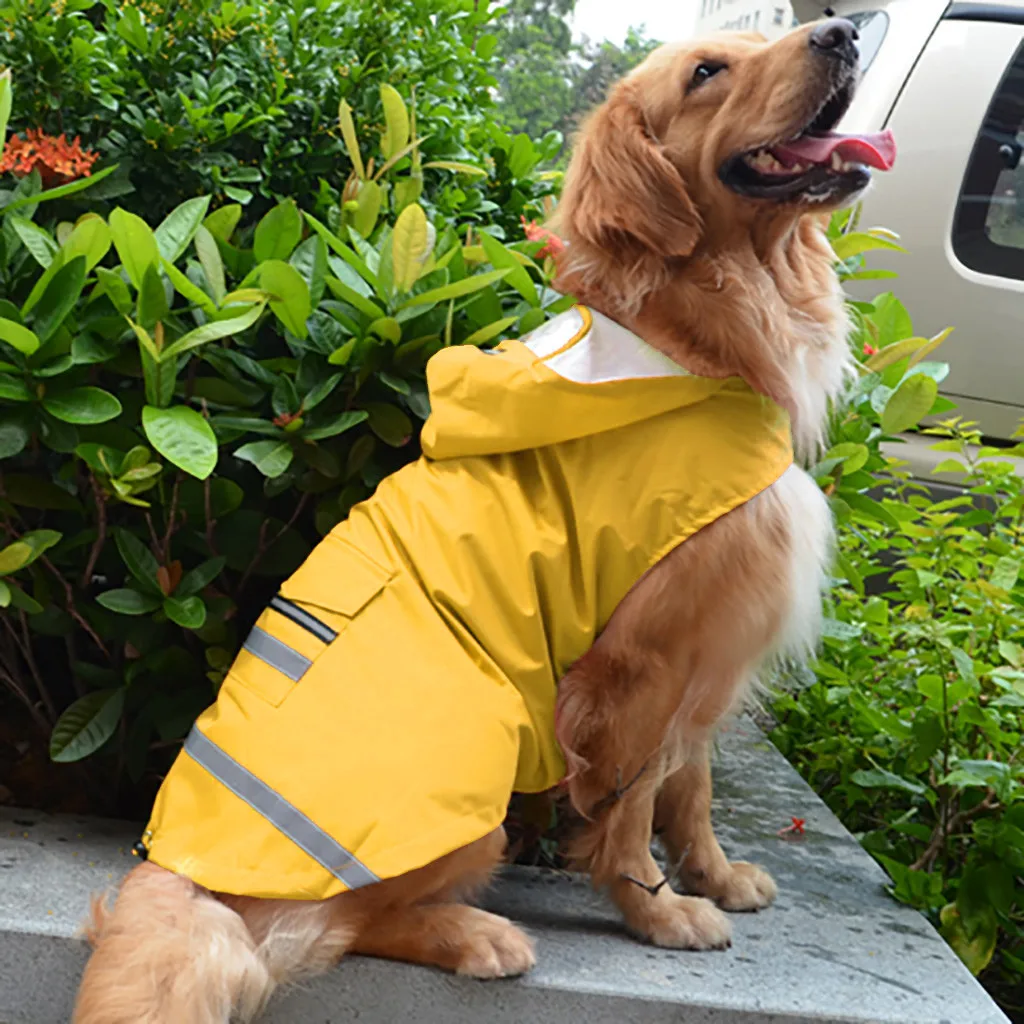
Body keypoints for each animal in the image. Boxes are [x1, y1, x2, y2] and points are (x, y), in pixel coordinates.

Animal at [75, 18, 897, 1024]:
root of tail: (175, 860)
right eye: (707, 72)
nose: (844, 30)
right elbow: (634, 799)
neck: (693, 332)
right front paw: (659, 910)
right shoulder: (646, 657)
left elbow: (692, 779)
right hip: (484, 769)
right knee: (333, 928)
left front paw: (713, 874)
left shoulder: (714, 636)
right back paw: (476, 934)